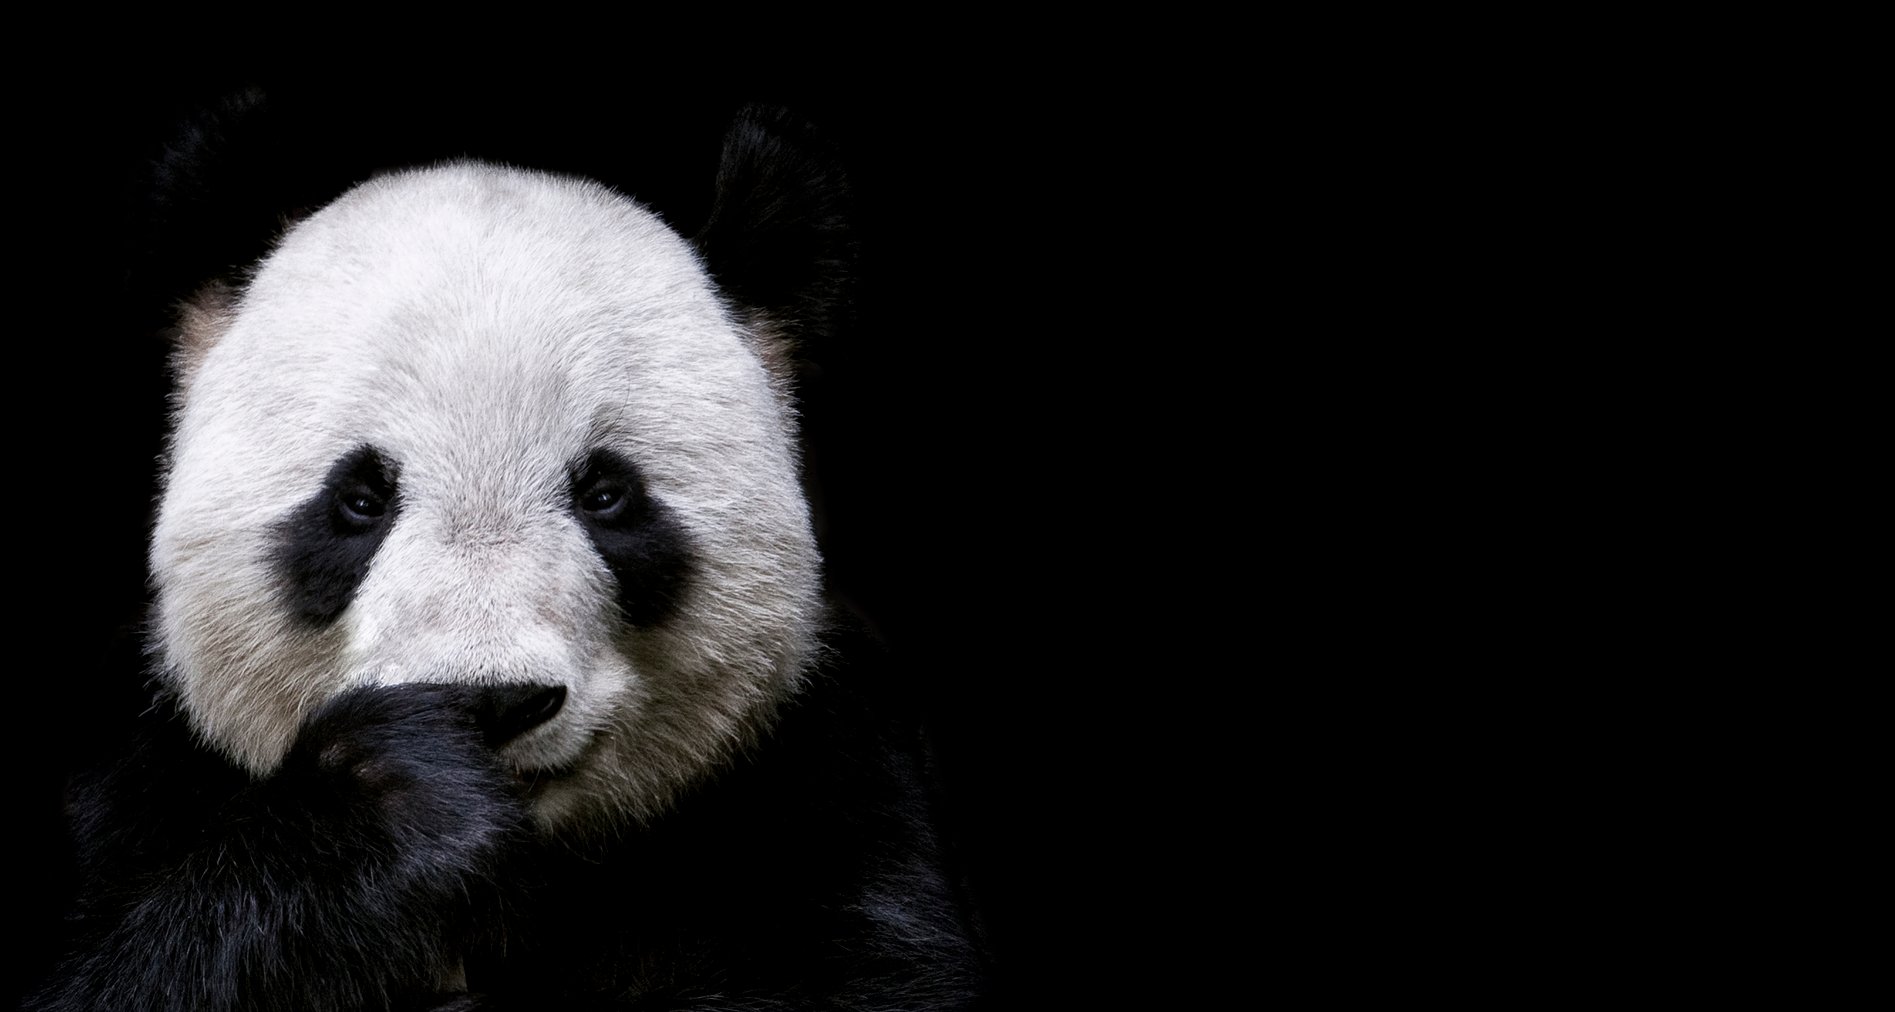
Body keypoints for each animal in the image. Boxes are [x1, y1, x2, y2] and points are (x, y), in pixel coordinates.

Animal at [30, 103, 988, 1011]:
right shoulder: (137, 771)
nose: (491, 701)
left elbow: (872, 973)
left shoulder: (826, 770)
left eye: (606, 494)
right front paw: (392, 803)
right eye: (360, 499)